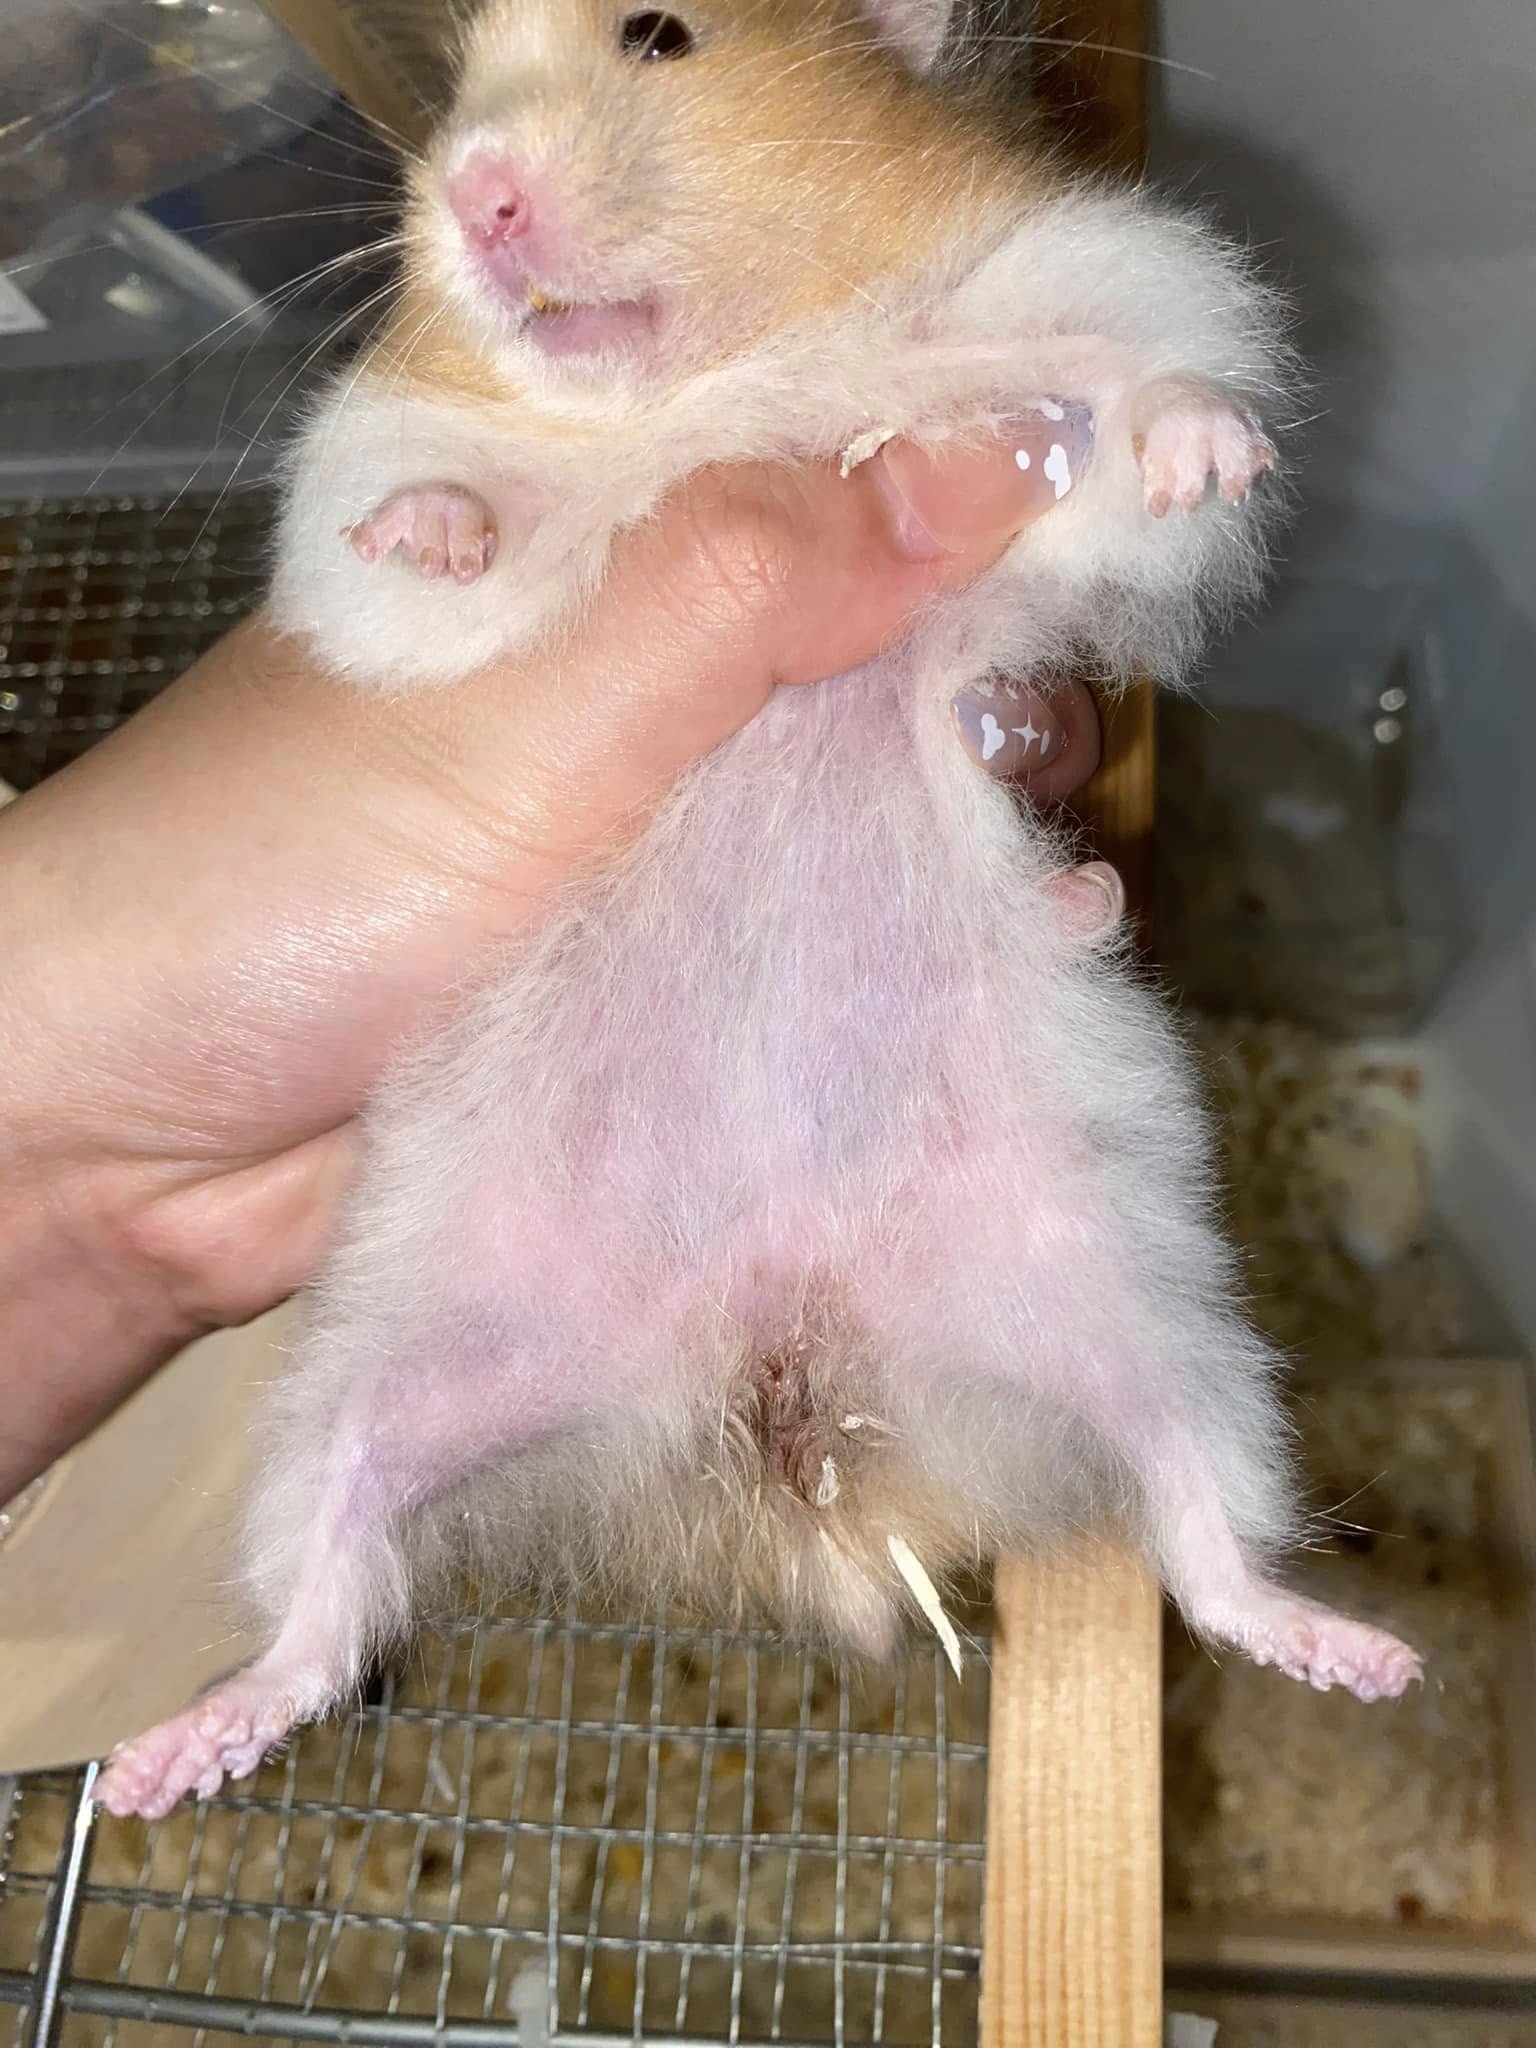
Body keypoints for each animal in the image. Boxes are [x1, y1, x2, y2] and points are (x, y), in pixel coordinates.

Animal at [97, 0, 1419, 1821]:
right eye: (456, 92)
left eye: (661, 34)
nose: (474, 192)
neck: (740, 373)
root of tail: (777, 1362)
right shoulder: (402, 541)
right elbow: (421, 560)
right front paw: (424, 530)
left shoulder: (1102, 305)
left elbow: (1140, 423)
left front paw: (1205, 448)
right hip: (388, 1375)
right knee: (327, 1591)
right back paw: (165, 1763)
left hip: (1141, 1313)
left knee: (1203, 1527)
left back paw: (1371, 1658)